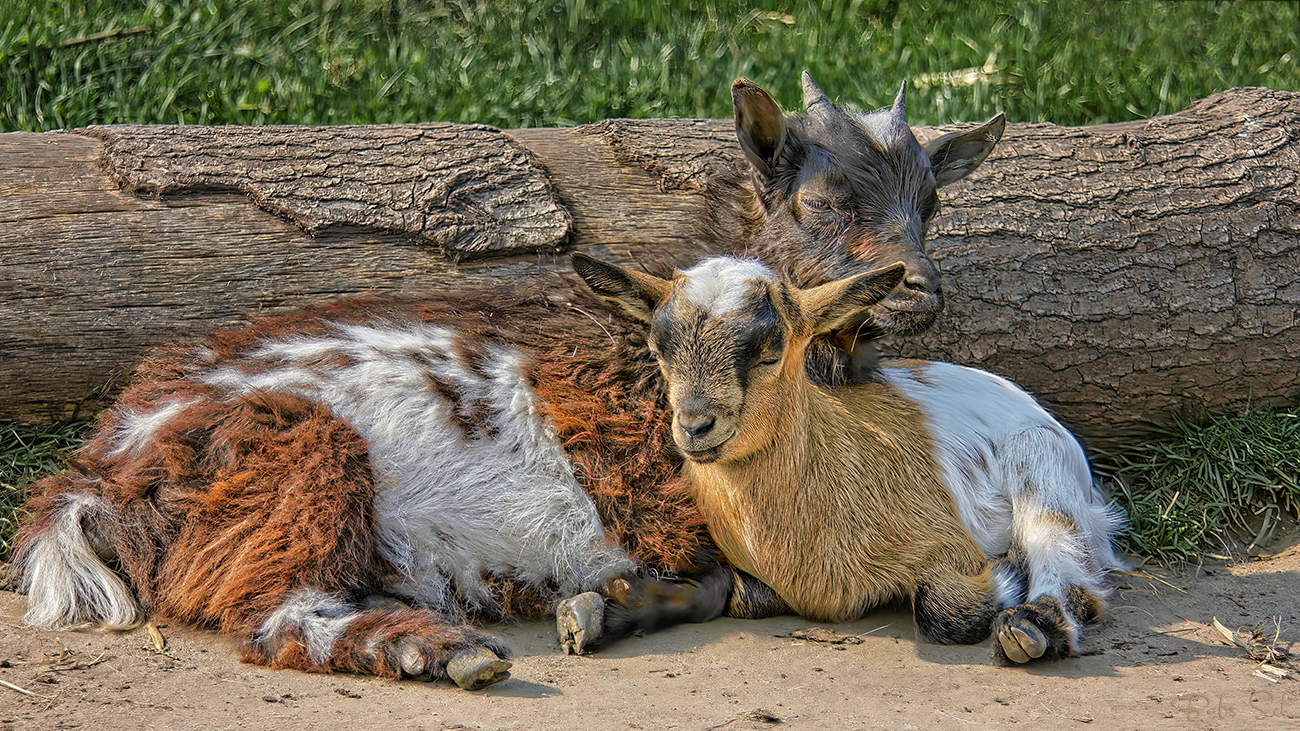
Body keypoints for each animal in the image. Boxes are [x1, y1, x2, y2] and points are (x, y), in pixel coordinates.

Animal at [569, 253, 1128, 663]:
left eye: (771, 352)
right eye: (659, 350)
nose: (695, 426)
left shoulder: (946, 541)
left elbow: (944, 609)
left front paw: (1005, 578)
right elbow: (734, 593)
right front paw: (596, 615)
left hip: (1043, 462)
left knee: (1067, 555)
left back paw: (1034, 626)